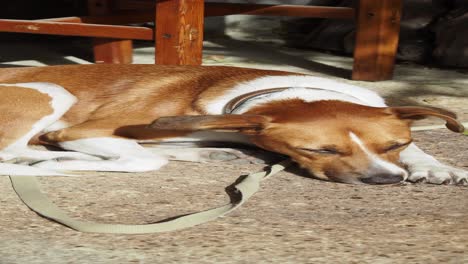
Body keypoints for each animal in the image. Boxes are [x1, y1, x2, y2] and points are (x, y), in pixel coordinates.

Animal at [0, 64, 466, 185]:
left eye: (394, 146)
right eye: (318, 151)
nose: (384, 180)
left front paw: (437, 166)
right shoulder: (78, 130)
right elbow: (144, 160)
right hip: (49, 89)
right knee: (13, 152)